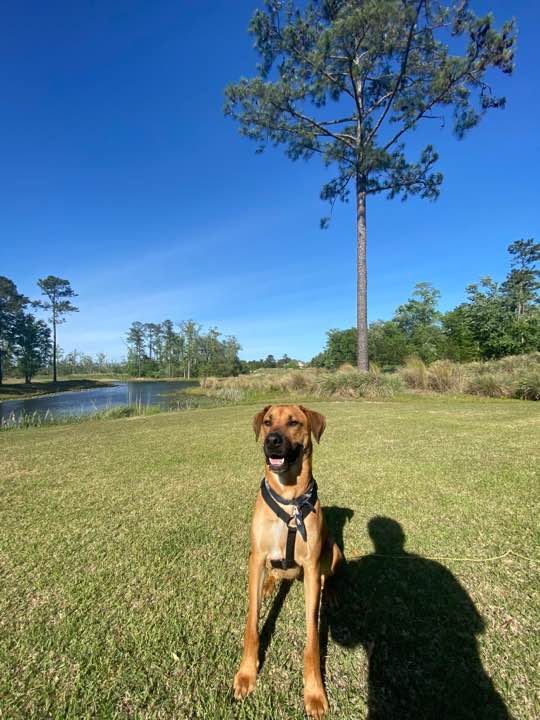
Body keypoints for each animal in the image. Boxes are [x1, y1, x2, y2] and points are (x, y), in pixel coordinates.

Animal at [233, 404, 343, 719]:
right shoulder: (256, 558)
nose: (272, 441)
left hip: (333, 549)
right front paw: (246, 673)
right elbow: (251, 624)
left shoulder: (311, 566)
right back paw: (271, 584)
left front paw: (314, 692)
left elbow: (313, 639)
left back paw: (330, 591)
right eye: (268, 422)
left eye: (294, 422)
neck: (289, 500)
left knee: (329, 574)